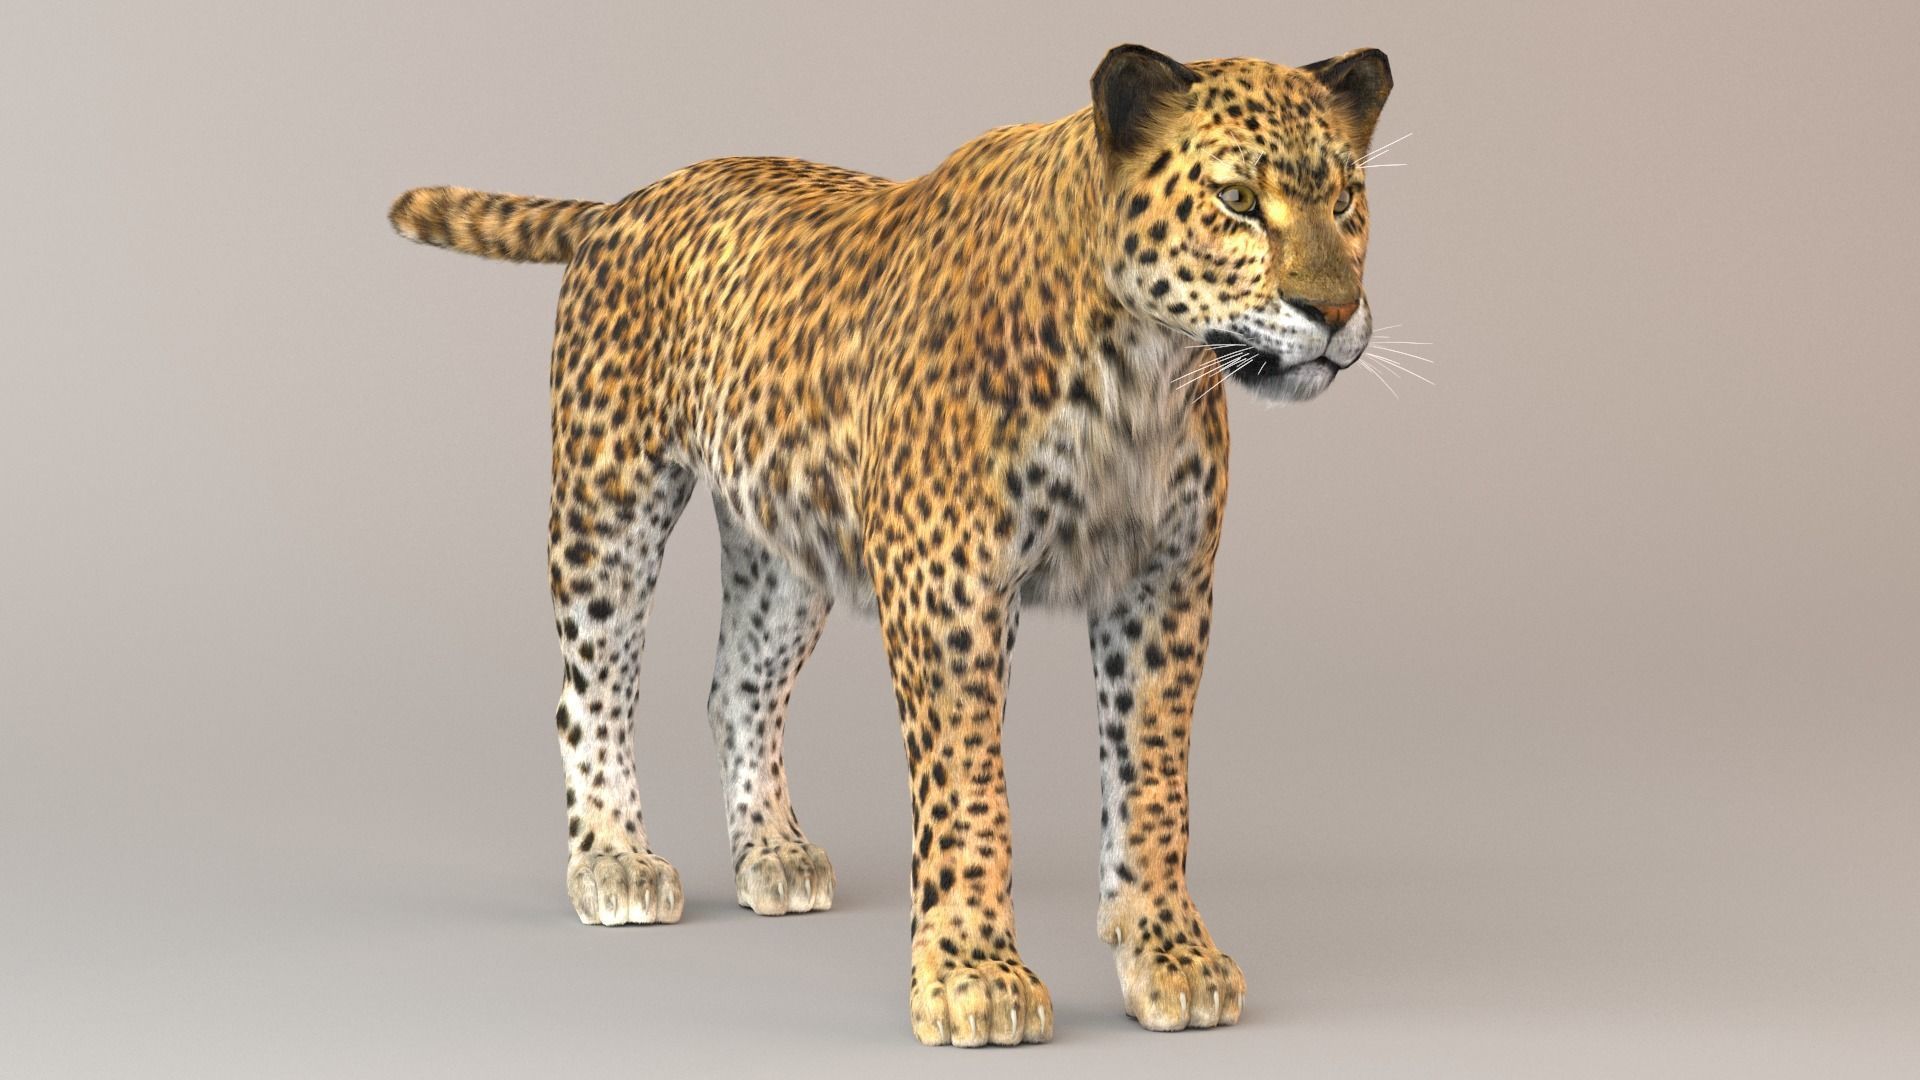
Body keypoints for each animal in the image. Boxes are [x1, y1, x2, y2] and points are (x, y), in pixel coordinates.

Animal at [388, 43, 1394, 1046]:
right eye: (1237, 200)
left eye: (1348, 198)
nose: (1336, 311)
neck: (1141, 372)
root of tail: (623, 203)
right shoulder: (946, 587)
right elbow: (968, 793)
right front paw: (973, 976)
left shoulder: (1163, 588)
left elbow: (1152, 783)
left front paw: (1171, 957)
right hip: (607, 497)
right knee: (591, 689)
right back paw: (614, 861)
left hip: (783, 539)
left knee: (736, 686)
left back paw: (773, 851)